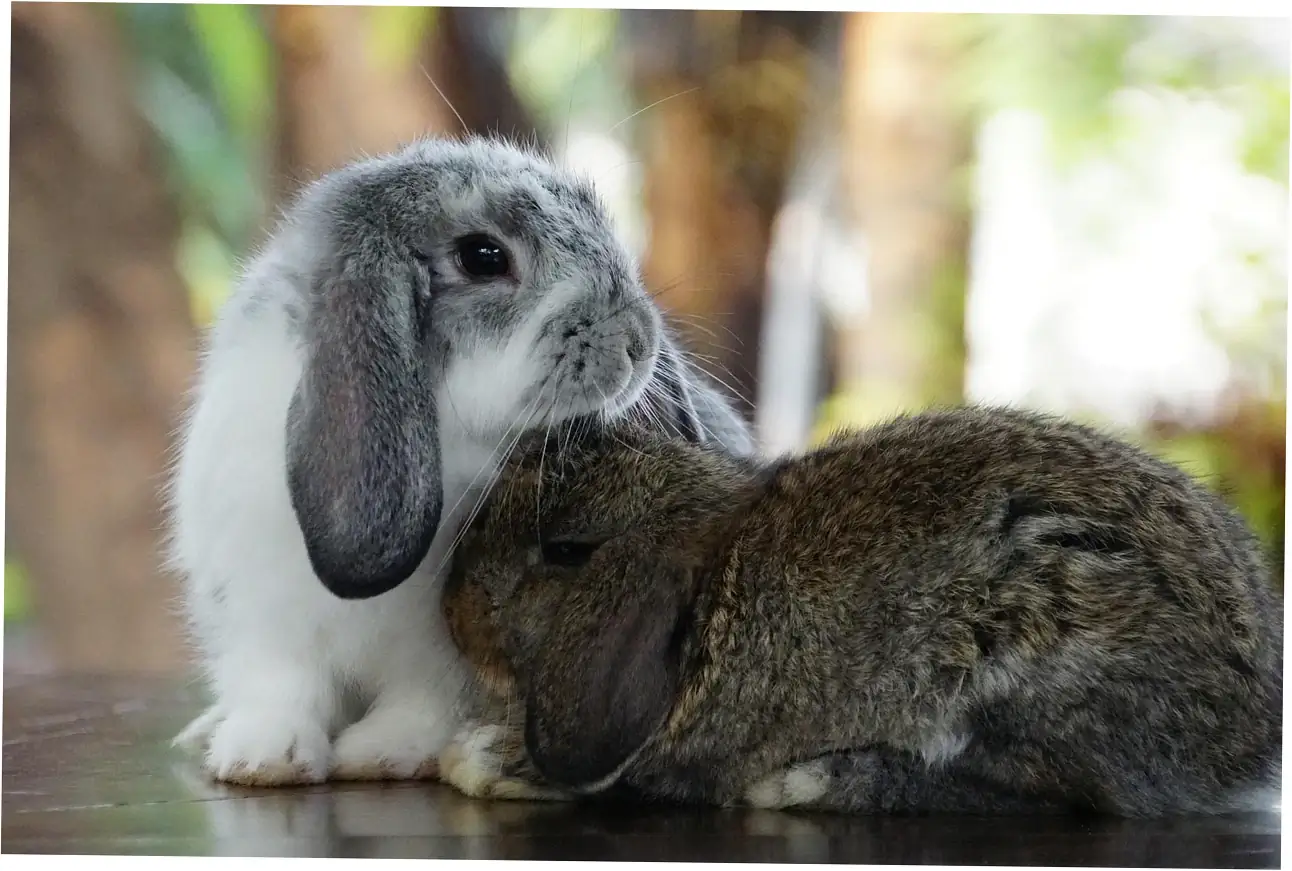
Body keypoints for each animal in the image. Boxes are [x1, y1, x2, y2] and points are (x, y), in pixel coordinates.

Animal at [166, 135, 754, 787]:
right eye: (483, 257)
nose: (637, 341)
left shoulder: (443, 649)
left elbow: (425, 702)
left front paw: (381, 753)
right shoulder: (259, 614)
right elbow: (279, 687)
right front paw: (265, 758)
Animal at [437, 405, 1283, 817]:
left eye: (565, 549)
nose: (452, 611)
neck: (713, 581)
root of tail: (1251, 732)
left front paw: (485, 760)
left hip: (1038, 661)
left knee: (1060, 796)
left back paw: (810, 784)